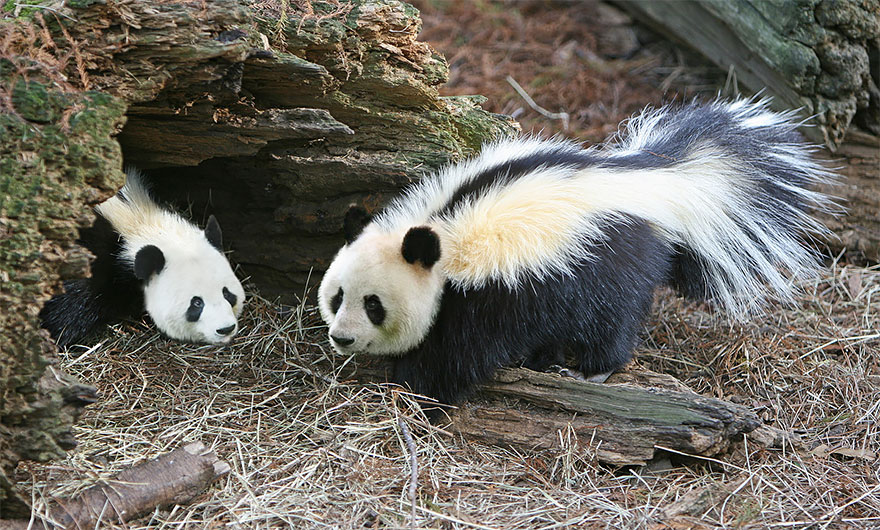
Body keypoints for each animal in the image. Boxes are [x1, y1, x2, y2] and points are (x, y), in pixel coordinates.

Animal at [318, 98, 836, 410]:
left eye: (374, 305)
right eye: (337, 297)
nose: (342, 337)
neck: (440, 235)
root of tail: (659, 182)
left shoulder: (475, 299)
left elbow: (453, 355)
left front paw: (414, 387)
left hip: (612, 262)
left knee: (612, 325)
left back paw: (592, 371)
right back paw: (544, 360)